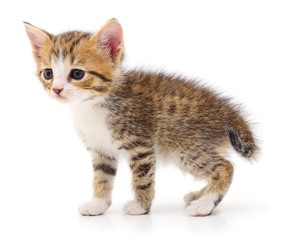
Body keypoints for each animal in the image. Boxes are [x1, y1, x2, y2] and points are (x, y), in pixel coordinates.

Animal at [25, 19, 260, 217]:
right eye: (48, 73)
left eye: (77, 74)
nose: (57, 89)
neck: (93, 104)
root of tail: (227, 111)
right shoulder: (101, 149)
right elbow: (102, 177)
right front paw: (98, 205)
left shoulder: (141, 145)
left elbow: (143, 178)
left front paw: (141, 207)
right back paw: (198, 195)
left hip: (186, 146)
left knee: (225, 167)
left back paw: (204, 204)